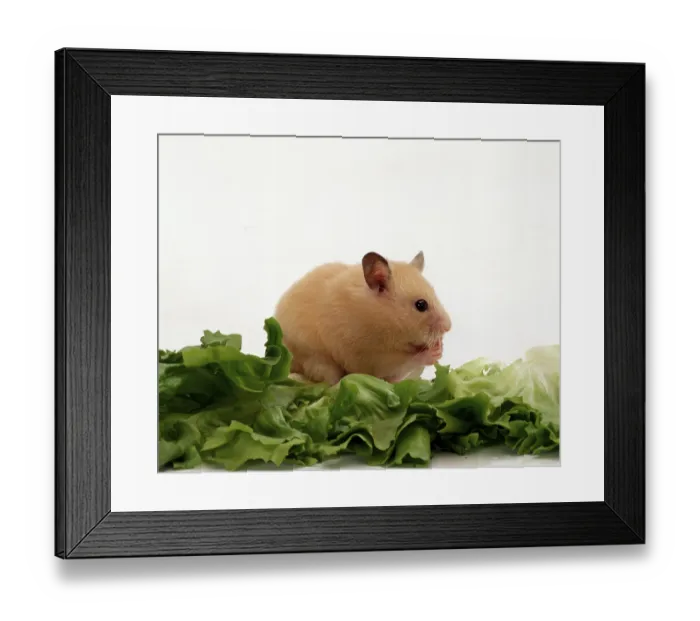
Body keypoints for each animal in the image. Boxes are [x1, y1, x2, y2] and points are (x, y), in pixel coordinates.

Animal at [274, 251, 452, 385]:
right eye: (421, 305)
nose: (449, 327)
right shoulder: (371, 358)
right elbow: (405, 362)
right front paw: (434, 351)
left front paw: (440, 346)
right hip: (316, 361)